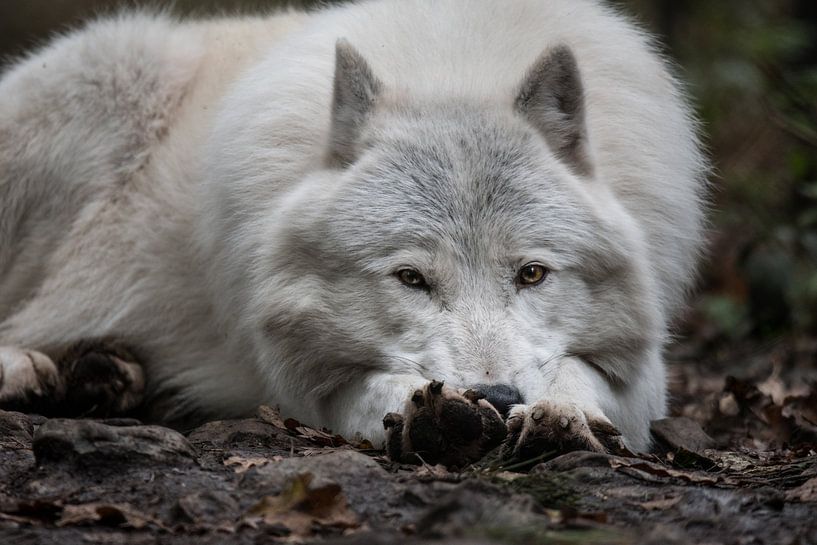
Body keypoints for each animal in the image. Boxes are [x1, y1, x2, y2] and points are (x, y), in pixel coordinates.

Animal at [0, 0, 707, 463]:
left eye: (532, 273)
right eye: (410, 278)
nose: (496, 396)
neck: (453, 71)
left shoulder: (645, 367)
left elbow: (581, 374)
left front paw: (562, 412)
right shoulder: (292, 371)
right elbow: (366, 390)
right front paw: (439, 416)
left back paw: (103, 372)